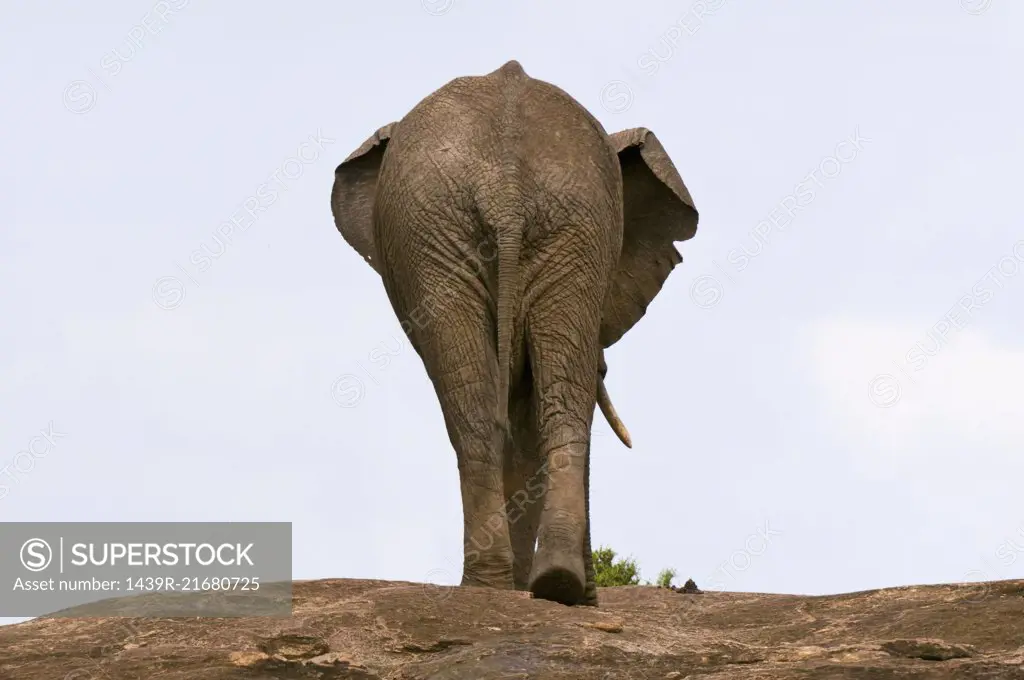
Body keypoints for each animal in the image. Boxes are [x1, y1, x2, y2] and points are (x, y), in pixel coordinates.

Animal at [331, 59, 700, 606]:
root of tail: (503, 185)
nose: (595, 596)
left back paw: (527, 588)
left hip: (543, 222)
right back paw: (528, 588)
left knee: (499, 405)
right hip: (466, 226)